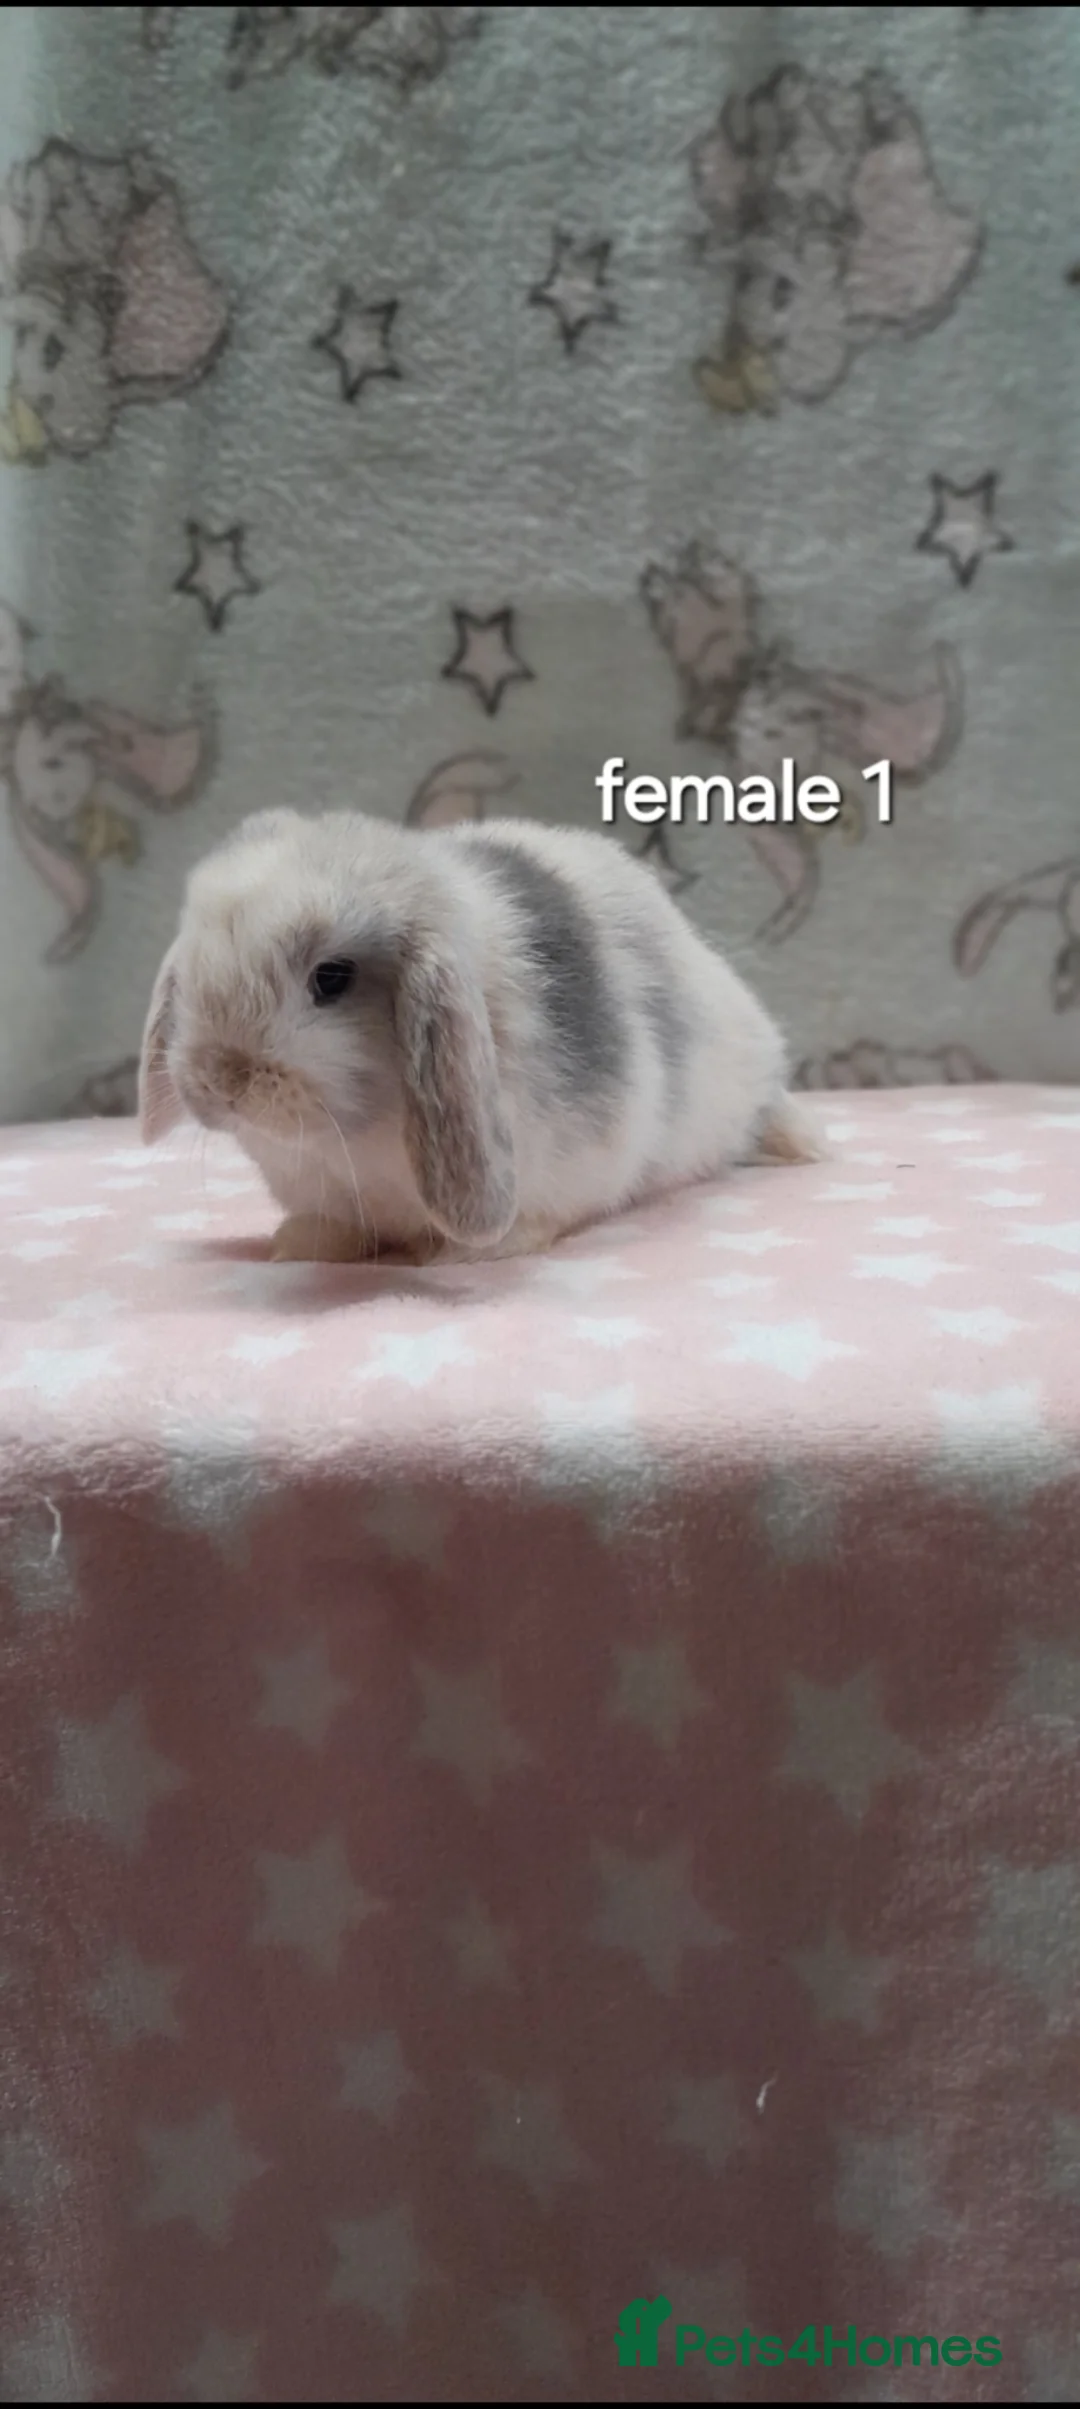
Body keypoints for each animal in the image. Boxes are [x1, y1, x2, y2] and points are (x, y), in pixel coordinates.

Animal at [138, 807, 820, 1263]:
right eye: (192, 966)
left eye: (332, 978)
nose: (219, 1079)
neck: (349, 1143)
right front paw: (301, 1244)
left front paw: (464, 1253)